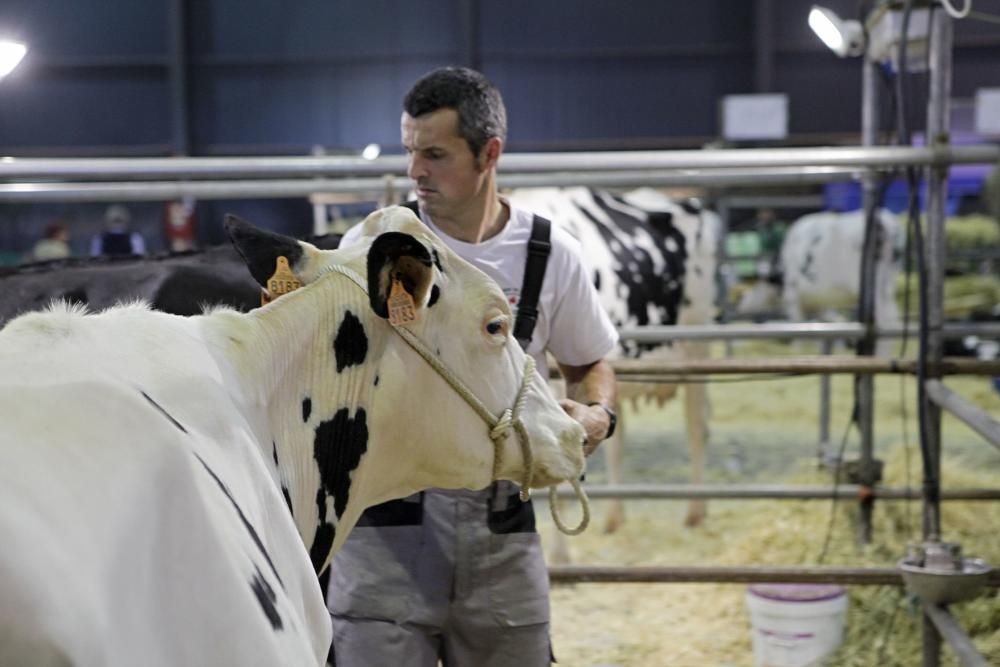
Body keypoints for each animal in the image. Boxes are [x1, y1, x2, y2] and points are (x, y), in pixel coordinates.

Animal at [508, 187, 720, 560]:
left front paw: (560, 558)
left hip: (697, 347)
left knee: (697, 426)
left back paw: (695, 512)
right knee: (617, 441)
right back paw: (615, 517)